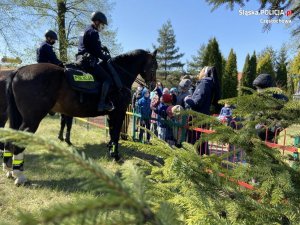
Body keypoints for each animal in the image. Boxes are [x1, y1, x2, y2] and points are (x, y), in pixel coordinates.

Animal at [4, 49, 158, 185]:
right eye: (154, 66)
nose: (153, 86)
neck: (118, 74)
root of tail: (18, 71)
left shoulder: (112, 113)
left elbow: (112, 132)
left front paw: (110, 150)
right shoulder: (119, 112)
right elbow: (115, 134)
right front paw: (115, 155)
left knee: (9, 140)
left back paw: (9, 170)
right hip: (32, 120)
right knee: (17, 143)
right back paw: (19, 176)